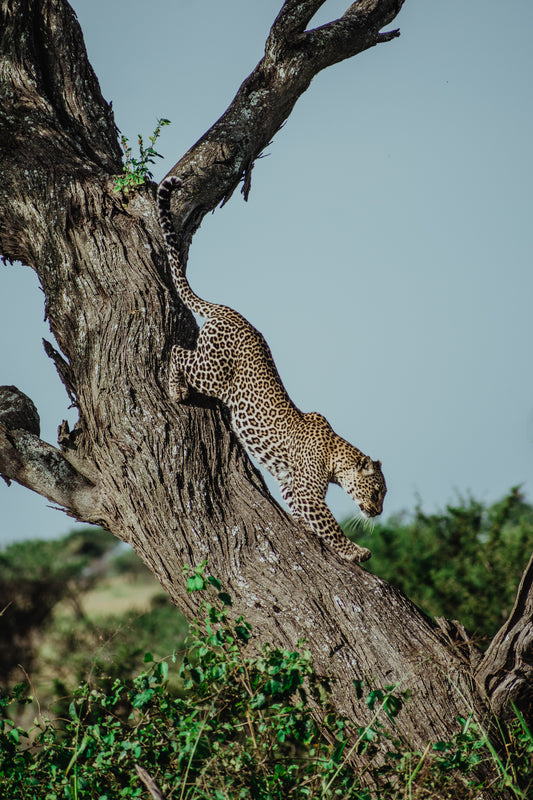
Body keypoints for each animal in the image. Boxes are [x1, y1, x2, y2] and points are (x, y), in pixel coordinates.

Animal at [156, 175, 384, 564]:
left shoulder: (292, 488)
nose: (380, 511)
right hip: (212, 372)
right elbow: (331, 525)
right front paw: (356, 551)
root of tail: (228, 311)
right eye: (379, 490)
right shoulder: (307, 491)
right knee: (176, 351)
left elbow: (308, 518)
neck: (336, 456)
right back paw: (176, 389)